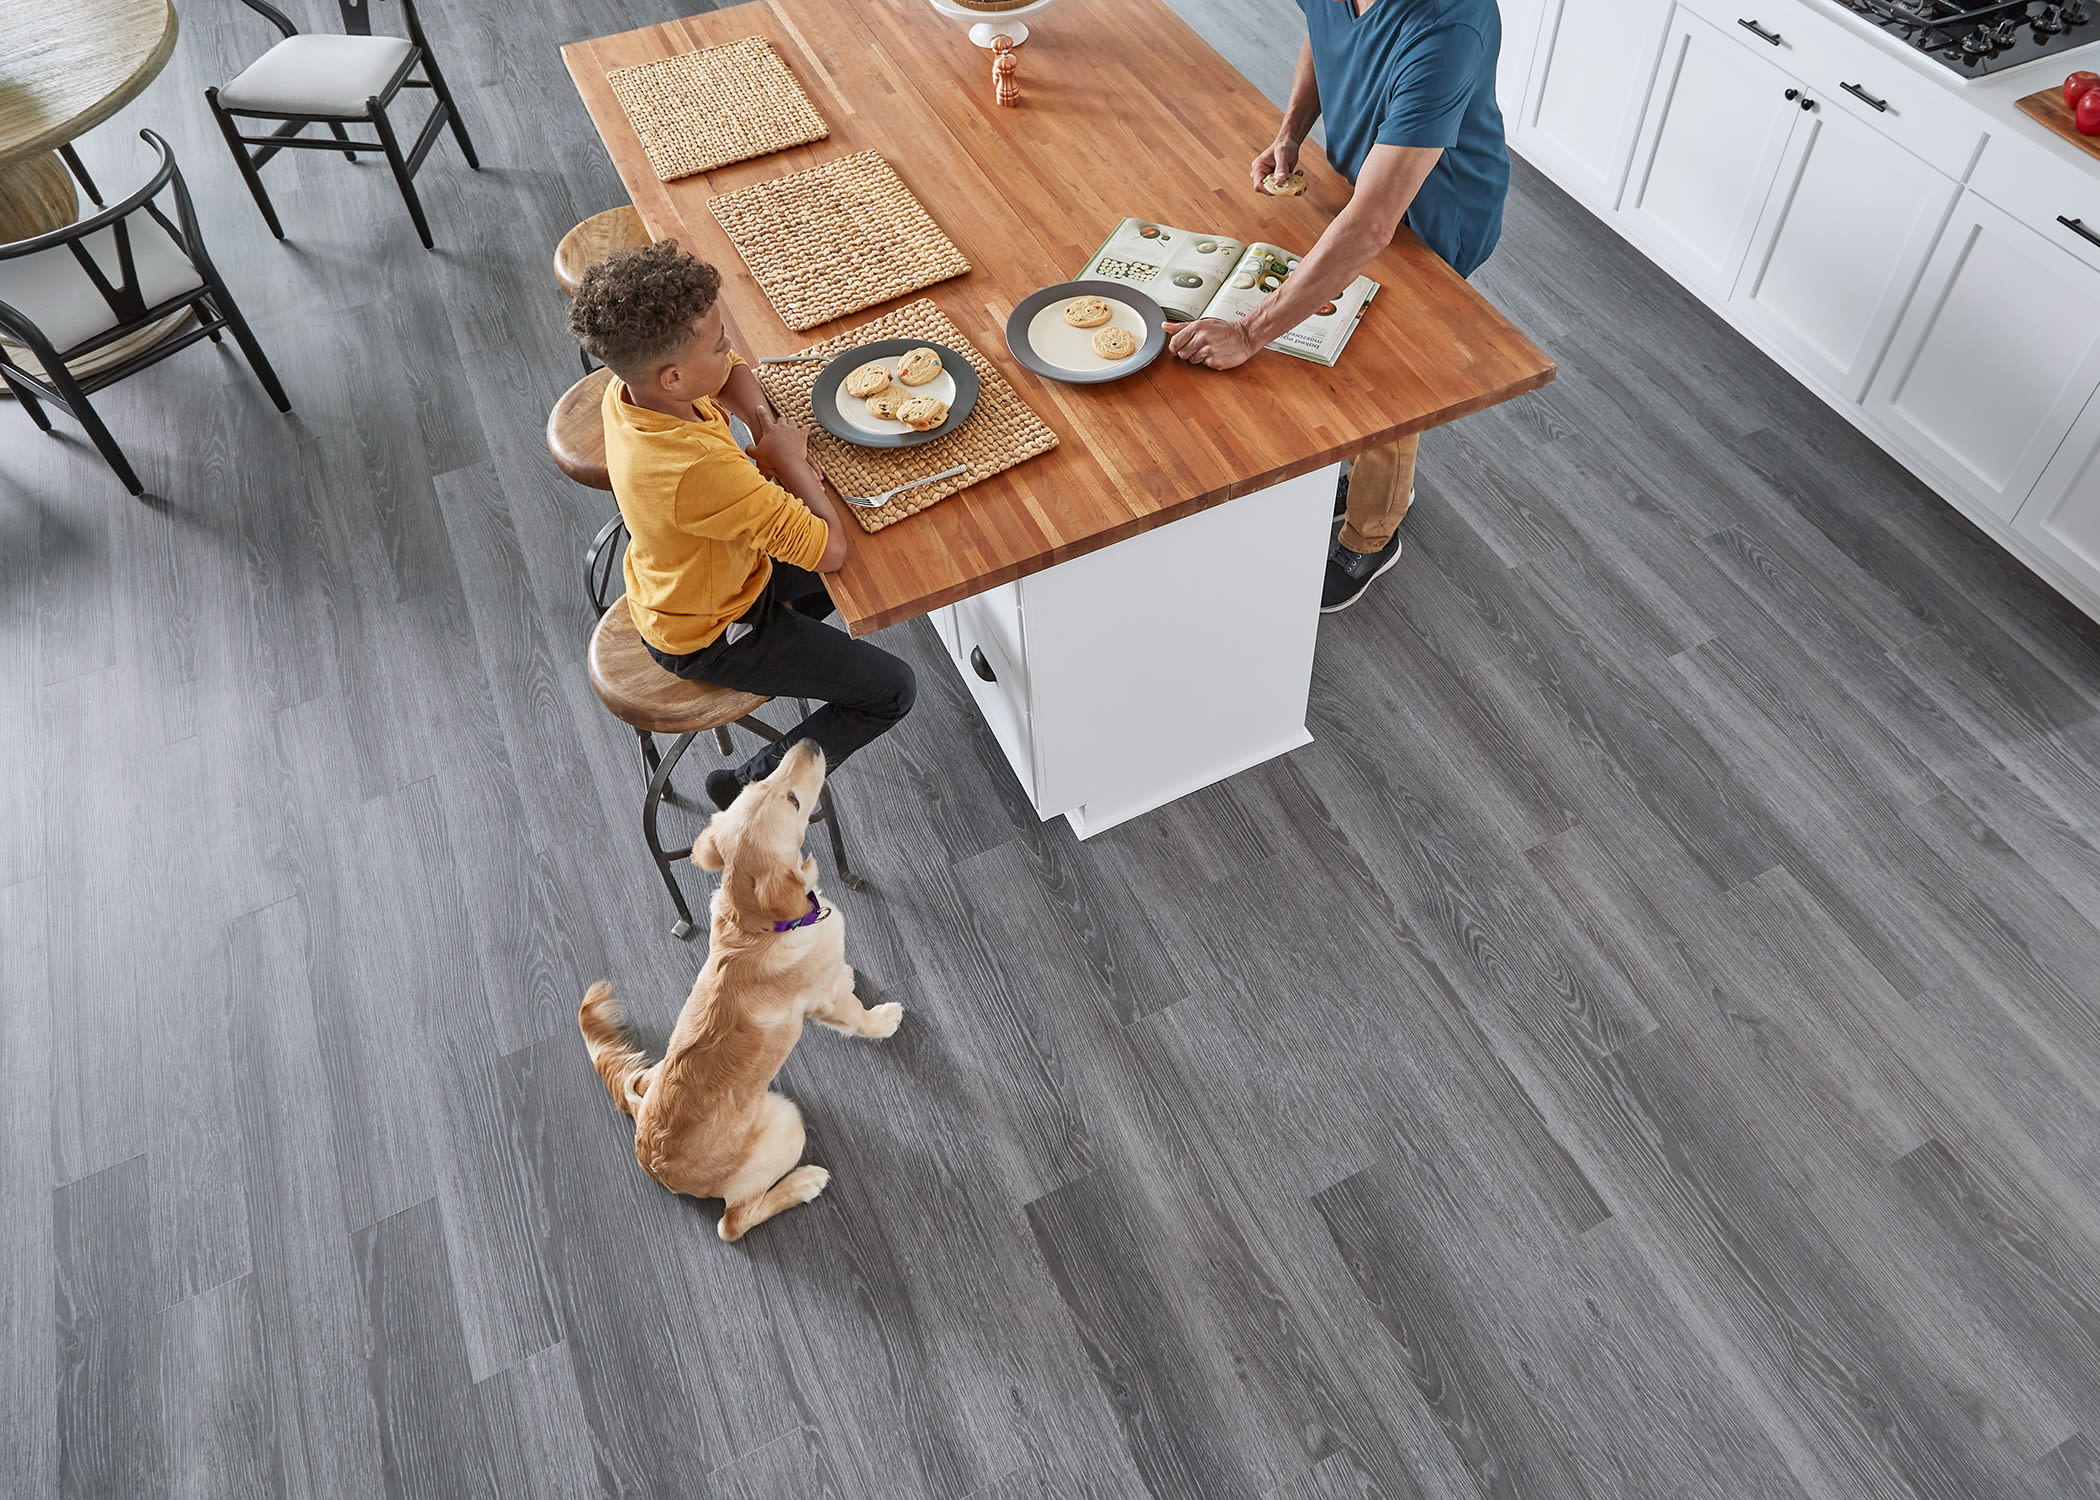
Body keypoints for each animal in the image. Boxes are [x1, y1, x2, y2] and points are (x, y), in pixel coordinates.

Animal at [579, 739, 898, 1235]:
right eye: (792, 800)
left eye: (755, 782)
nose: (808, 742)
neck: (756, 923)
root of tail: (649, 1154)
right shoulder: (823, 999)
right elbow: (857, 1016)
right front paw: (885, 1019)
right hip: (787, 1126)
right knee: (734, 1221)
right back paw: (804, 1183)